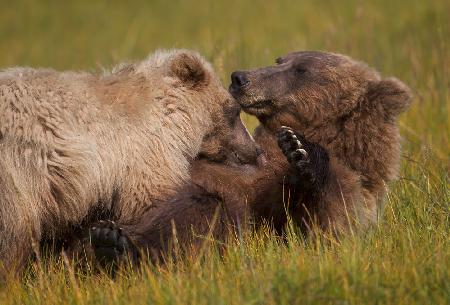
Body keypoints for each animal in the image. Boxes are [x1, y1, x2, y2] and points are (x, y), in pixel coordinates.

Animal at [82, 50, 410, 264]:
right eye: (280, 60)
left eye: (301, 69)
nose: (240, 77)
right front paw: (295, 146)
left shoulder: (355, 187)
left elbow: (324, 225)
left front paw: (300, 151)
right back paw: (110, 242)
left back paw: (112, 244)